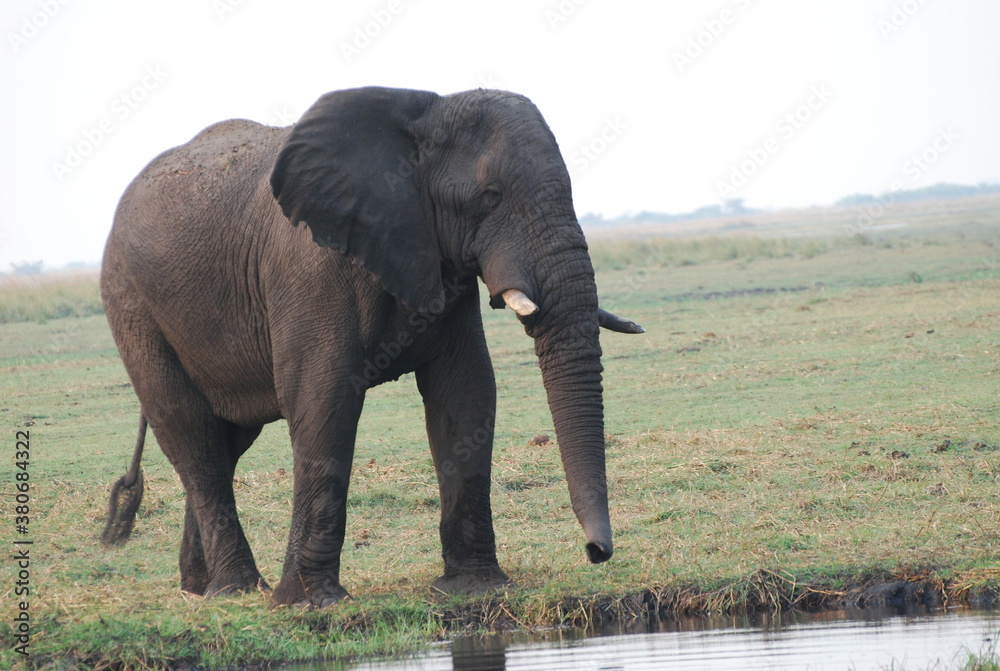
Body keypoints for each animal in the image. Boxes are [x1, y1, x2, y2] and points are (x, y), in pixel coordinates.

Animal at [100, 86, 644, 608]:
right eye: (490, 196)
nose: (596, 552)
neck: (424, 112)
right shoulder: (311, 269)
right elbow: (324, 398)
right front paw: (312, 603)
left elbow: (466, 392)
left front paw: (478, 589)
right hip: (131, 303)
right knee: (191, 434)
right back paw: (236, 589)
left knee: (227, 440)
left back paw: (202, 590)